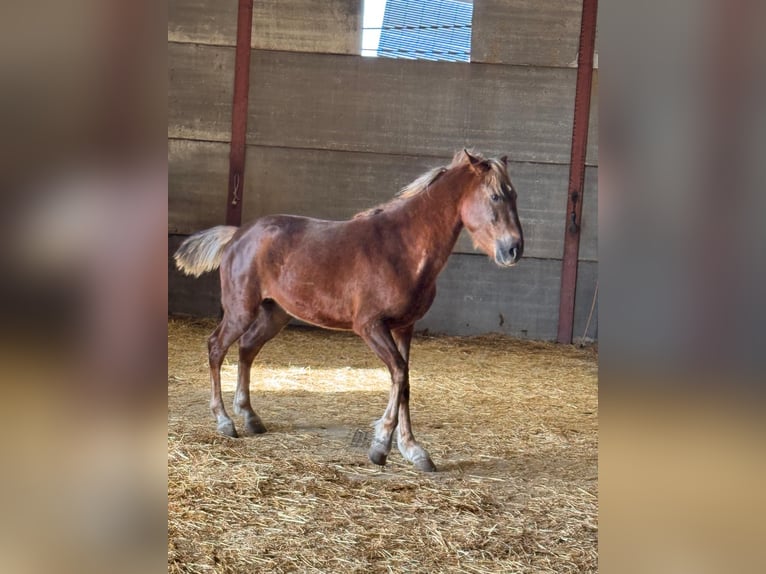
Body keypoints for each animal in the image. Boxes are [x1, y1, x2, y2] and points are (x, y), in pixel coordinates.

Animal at [173, 149, 524, 472]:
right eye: (495, 196)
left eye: (515, 195)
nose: (514, 249)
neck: (403, 249)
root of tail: (237, 234)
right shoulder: (370, 326)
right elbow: (399, 374)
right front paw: (381, 446)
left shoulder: (404, 327)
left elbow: (406, 383)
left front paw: (414, 451)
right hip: (240, 310)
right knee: (217, 347)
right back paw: (225, 422)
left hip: (275, 313)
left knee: (246, 348)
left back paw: (250, 418)